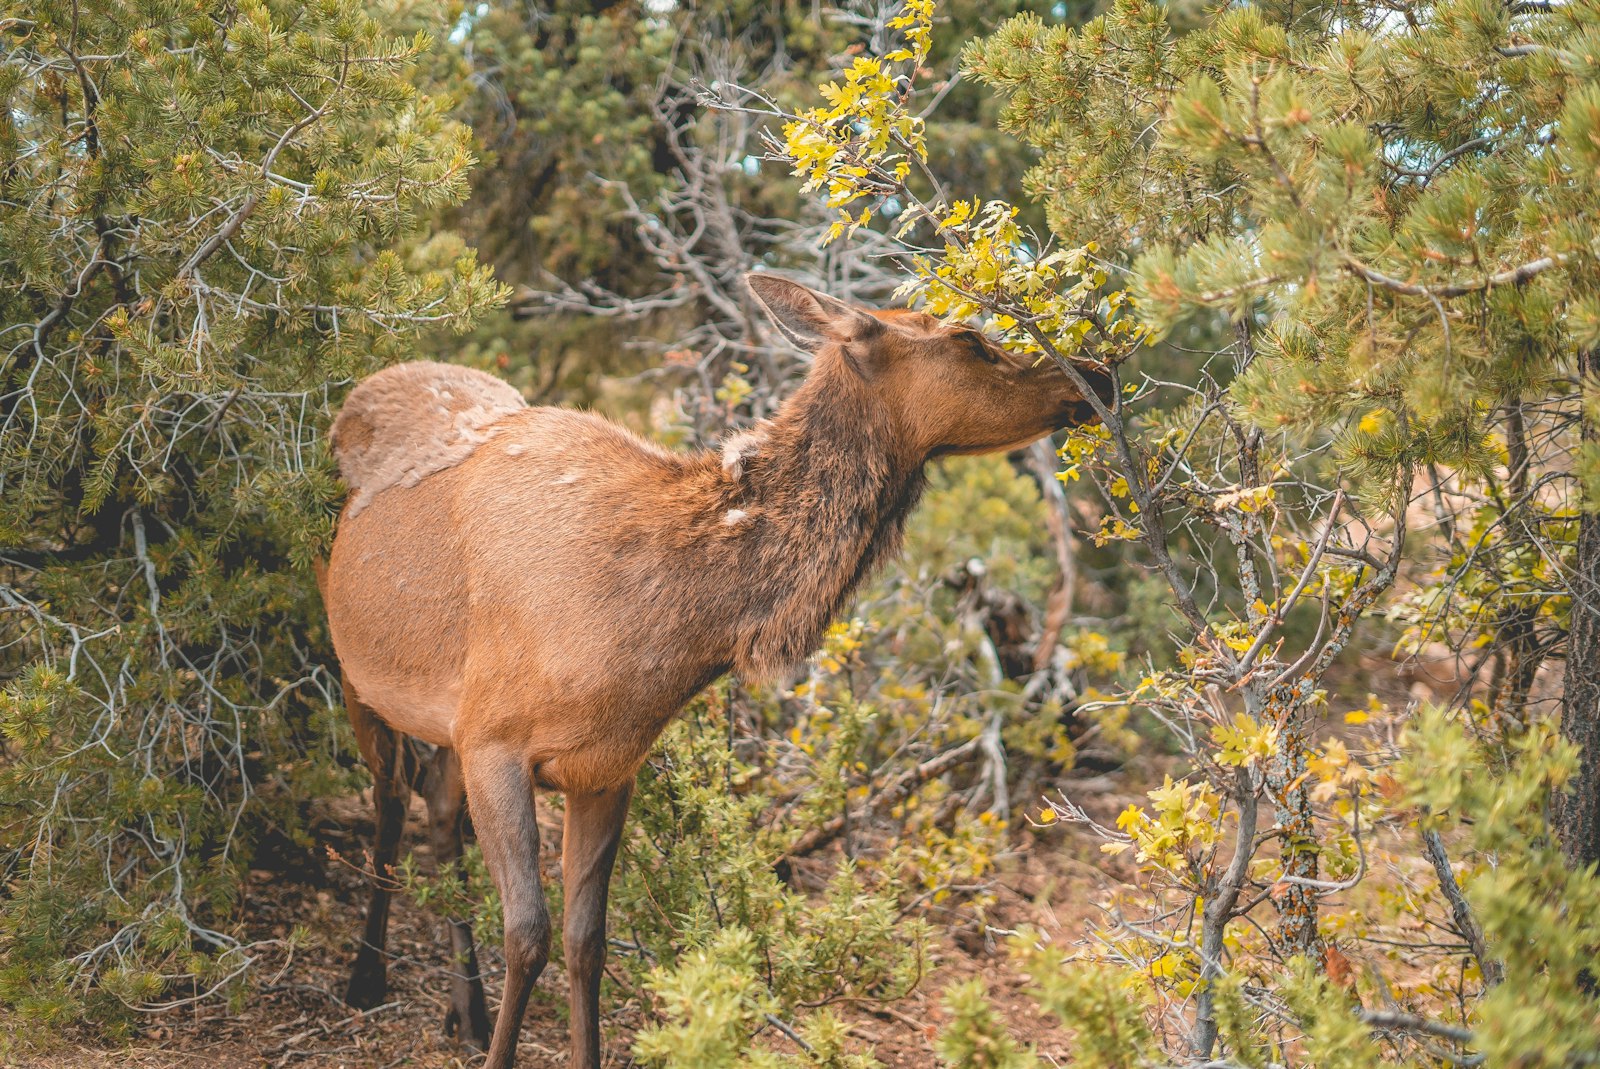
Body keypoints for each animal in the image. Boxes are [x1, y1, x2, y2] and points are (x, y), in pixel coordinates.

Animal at [318, 275, 1107, 1069]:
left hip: (447, 718)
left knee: (436, 803)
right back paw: (365, 978)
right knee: (392, 797)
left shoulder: (605, 766)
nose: (1093, 374)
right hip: (358, 671)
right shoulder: (496, 741)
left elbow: (585, 940)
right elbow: (528, 935)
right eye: (970, 339)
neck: (672, 627)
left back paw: (466, 1012)